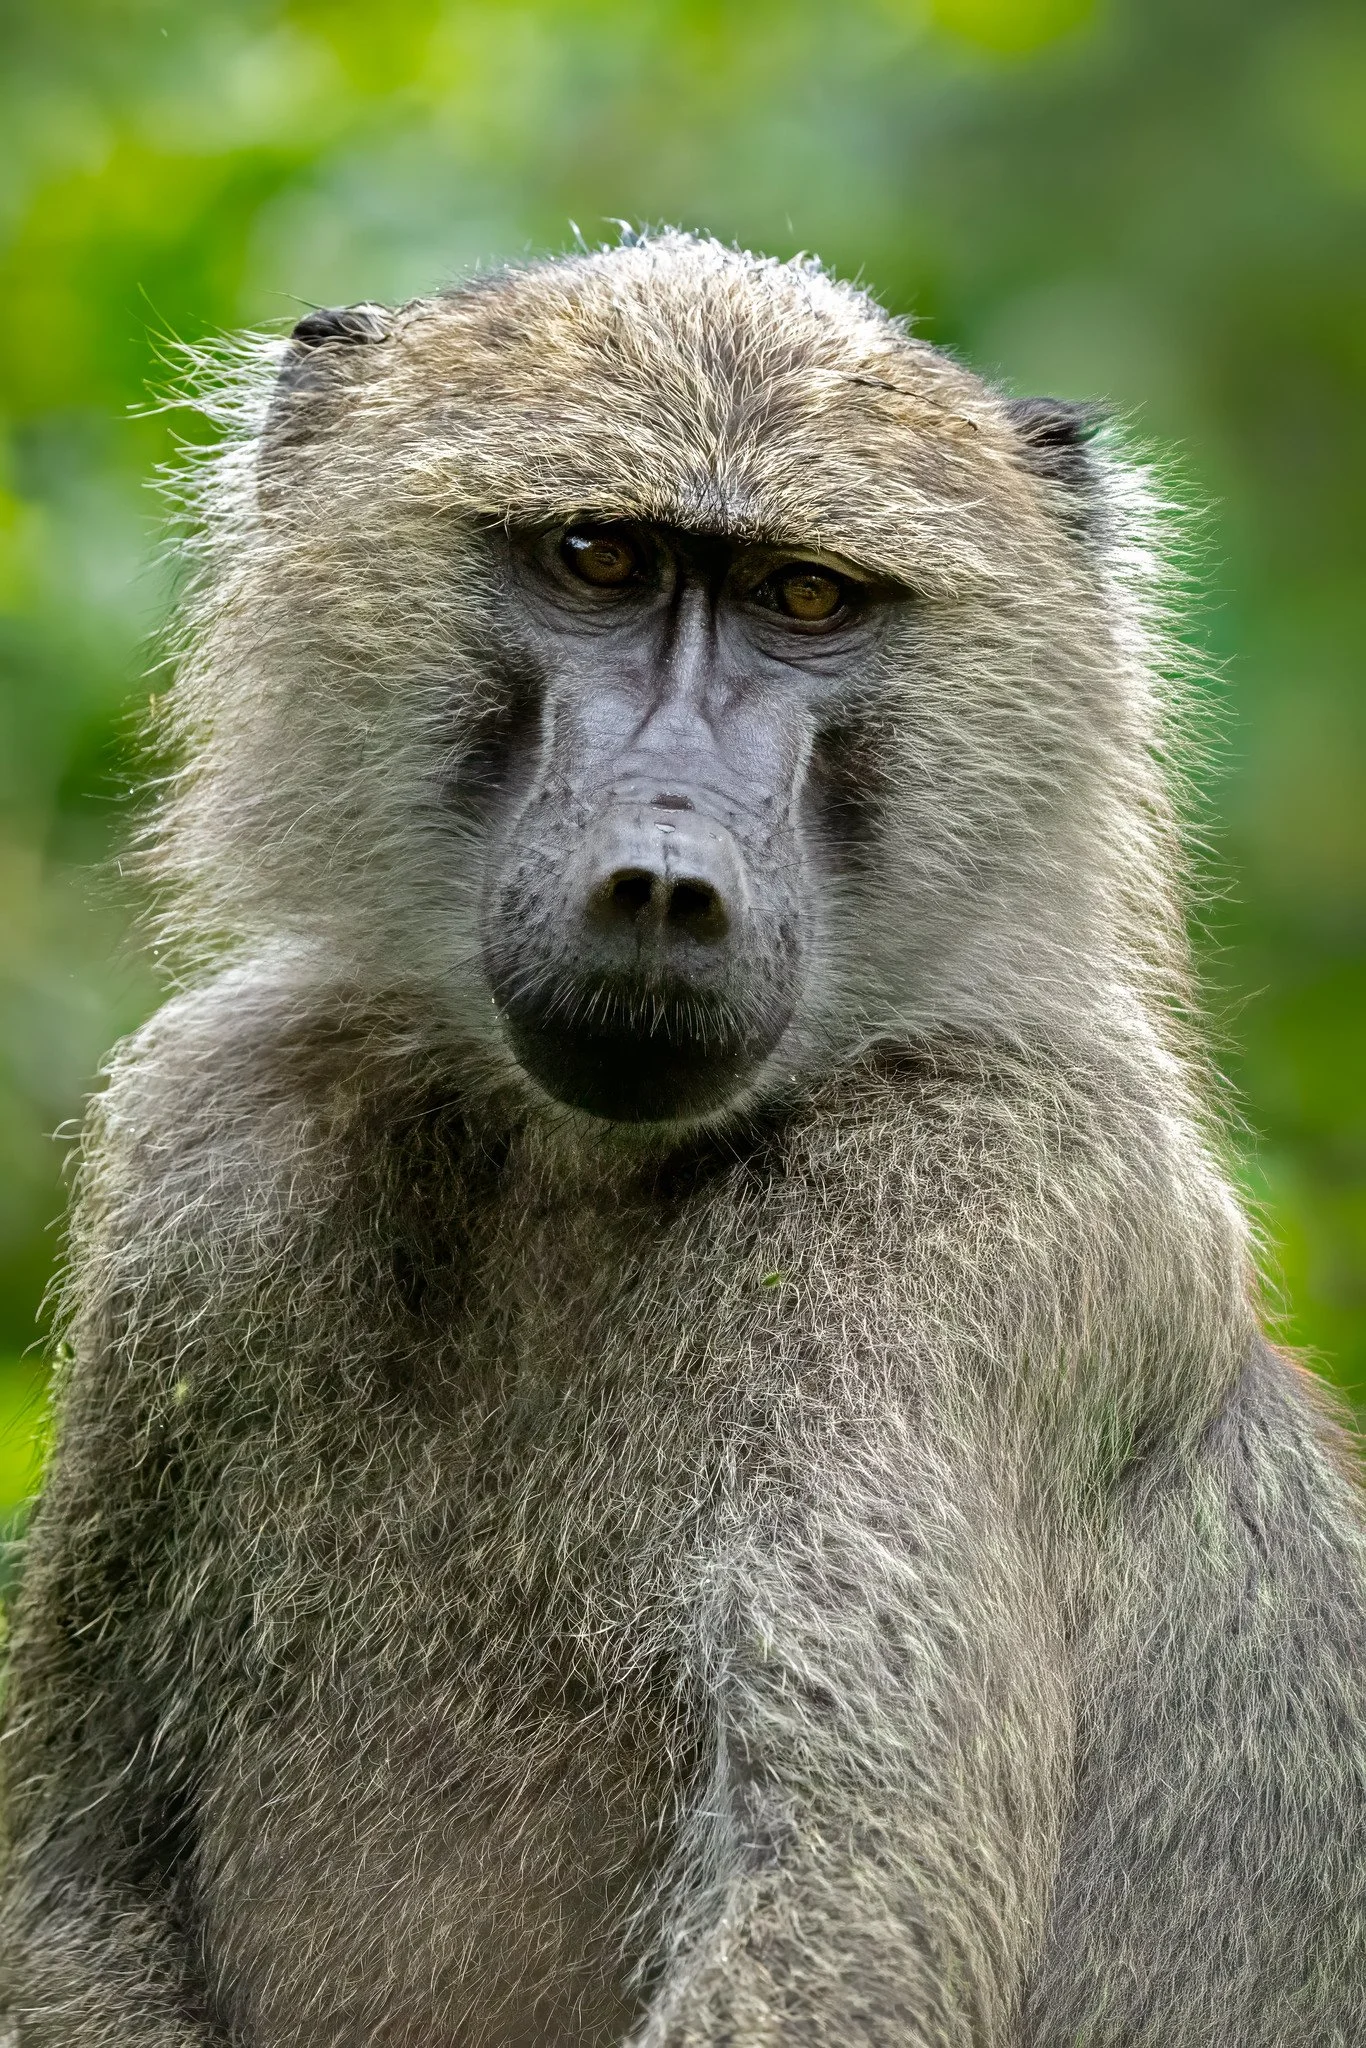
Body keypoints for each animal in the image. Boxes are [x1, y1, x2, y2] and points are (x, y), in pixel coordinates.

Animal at [1, 230, 1363, 2048]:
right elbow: (74, 1877)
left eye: (806, 599)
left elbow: (846, 1926)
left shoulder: (981, 1212)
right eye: (600, 557)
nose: (664, 876)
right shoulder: (206, 1157)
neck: (579, 1164)